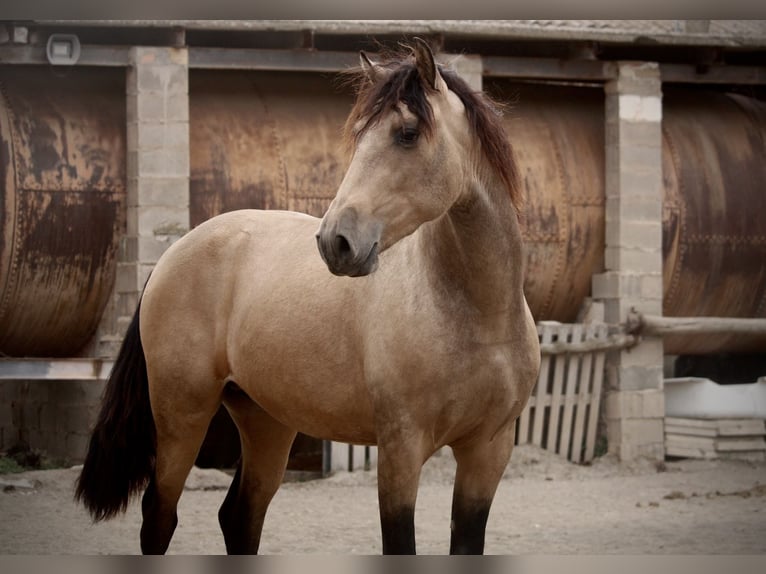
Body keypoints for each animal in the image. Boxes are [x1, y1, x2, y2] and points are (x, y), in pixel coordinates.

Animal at [73, 38, 540, 556]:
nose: (336, 241)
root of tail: (172, 254)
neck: (476, 317)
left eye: (407, 133)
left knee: (239, 516)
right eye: (359, 135)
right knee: (159, 515)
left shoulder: (487, 454)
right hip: (182, 417)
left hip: (265, 421)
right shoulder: (401, 450)